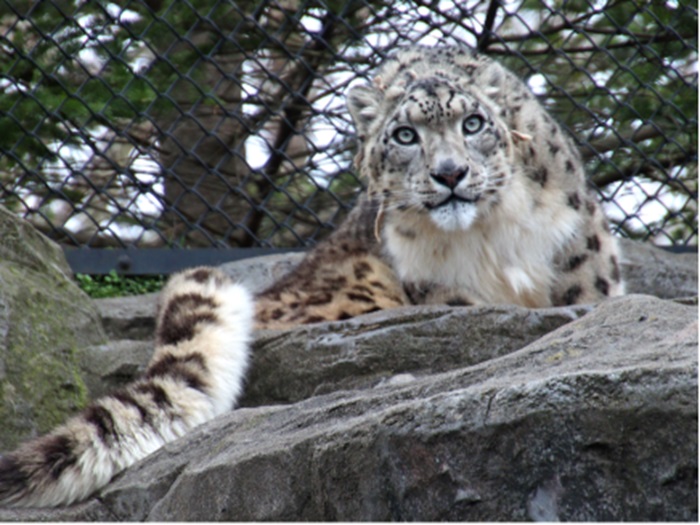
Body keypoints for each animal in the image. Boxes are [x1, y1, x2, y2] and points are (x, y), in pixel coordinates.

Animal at [0, 46, 624, 508]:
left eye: (474, 124)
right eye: (405, 135)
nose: (450, 174)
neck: (488, 237)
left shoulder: (580, 247)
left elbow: (588, 291)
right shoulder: (435, 283)